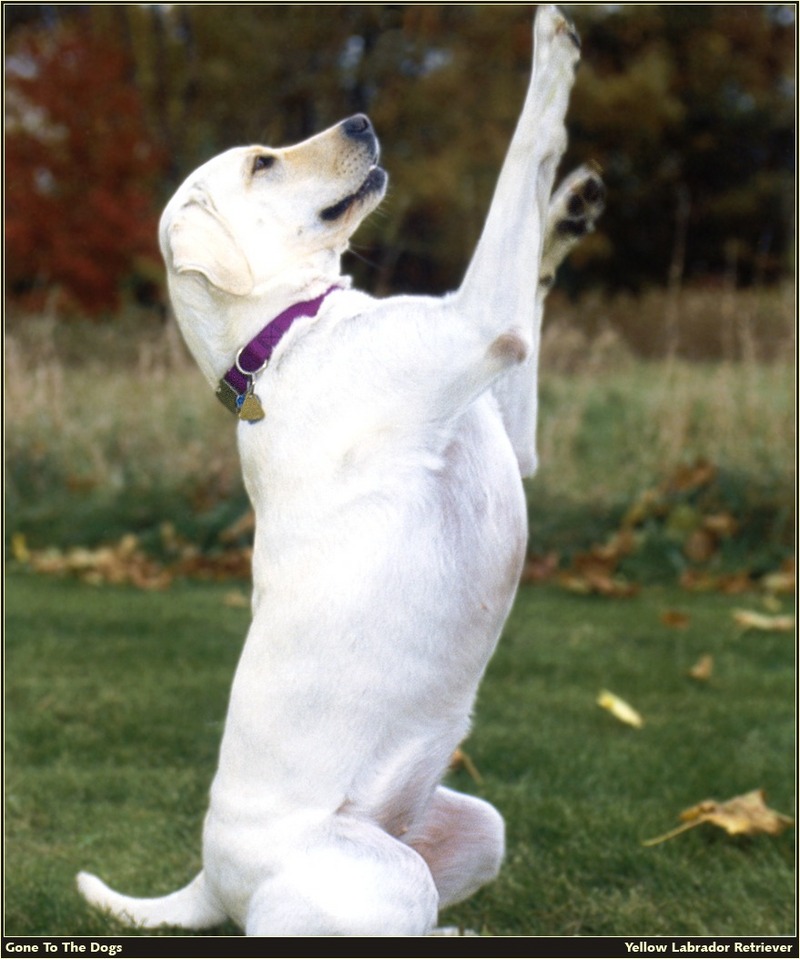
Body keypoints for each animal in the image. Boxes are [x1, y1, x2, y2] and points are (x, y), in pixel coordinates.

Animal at [76, 5, 600, 936]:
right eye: (263, 161)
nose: (359, 120)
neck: (283, 335)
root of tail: (212, 879)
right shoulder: (483, 322)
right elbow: (526, 142)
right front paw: (553, 47)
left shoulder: (514, 422)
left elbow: (532, 238)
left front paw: (568, 211)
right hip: (381, 876)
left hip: (476, 829)